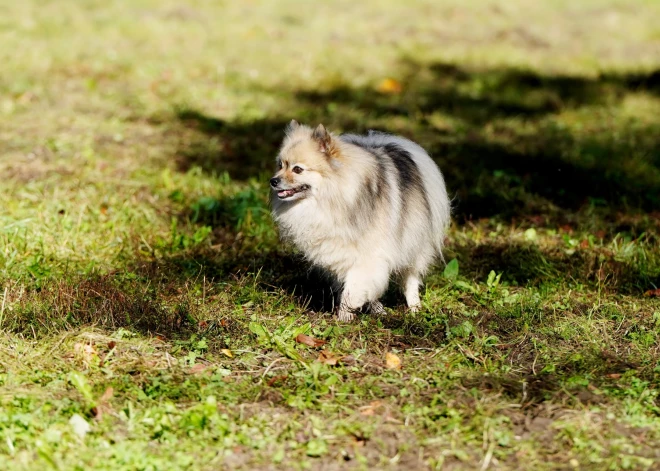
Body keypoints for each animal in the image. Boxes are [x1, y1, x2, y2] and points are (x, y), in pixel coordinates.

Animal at [270, 120, 452, 322]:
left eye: (297, 169)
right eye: (280, 165)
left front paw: (343, 317)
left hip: (414, 243)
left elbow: (353, 290)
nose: (273, 181)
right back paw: (378, 309)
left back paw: (414, 307)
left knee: (411, 278)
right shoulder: (342, 255)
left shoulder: (368, 256)